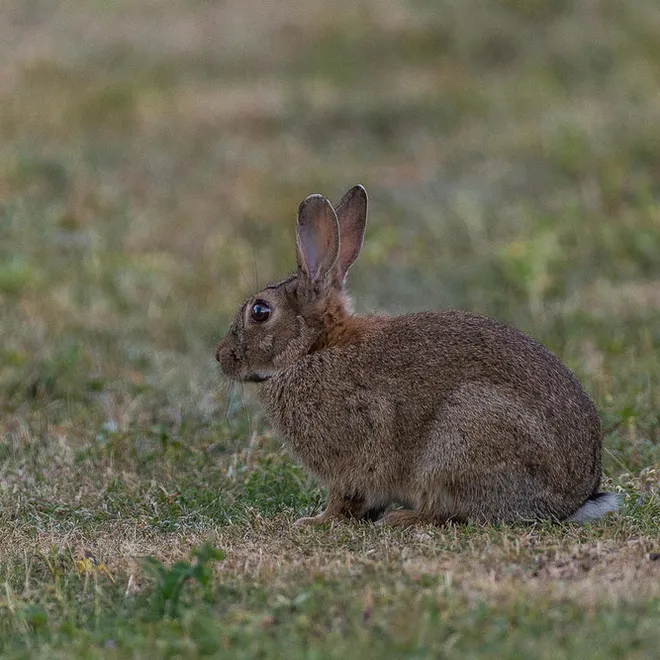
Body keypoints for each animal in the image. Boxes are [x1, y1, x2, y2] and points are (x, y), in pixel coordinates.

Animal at [215, 185, 619, 527]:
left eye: (260, 312)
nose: (221, 357)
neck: (315, 348)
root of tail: (572, 500)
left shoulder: (354, 456)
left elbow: (344, 497)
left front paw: (316, 521)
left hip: (460, 440)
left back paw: (401, 518)